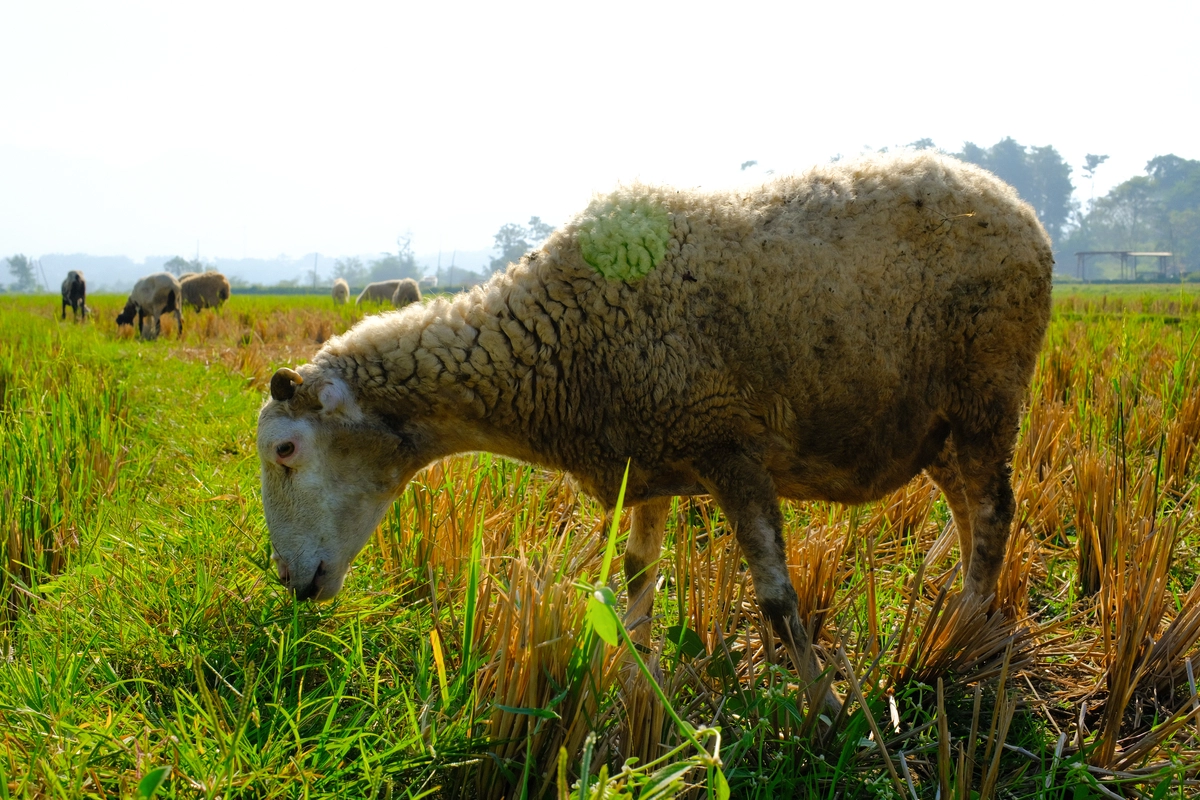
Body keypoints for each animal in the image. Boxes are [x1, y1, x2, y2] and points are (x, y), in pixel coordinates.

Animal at [255, 151, 1051, 714]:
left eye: (286, 450)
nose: (293, 584)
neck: (558, 347)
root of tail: (1015, 204)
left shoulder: (729, 448)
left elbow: (776, 598)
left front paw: (824, 711)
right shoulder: (647, 461)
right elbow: (638, 577)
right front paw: (631, 683)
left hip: (986, 392)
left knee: (993, 510)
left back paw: (963, 630)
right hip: (933, 422)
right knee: (968, 510)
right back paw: (958, 613)